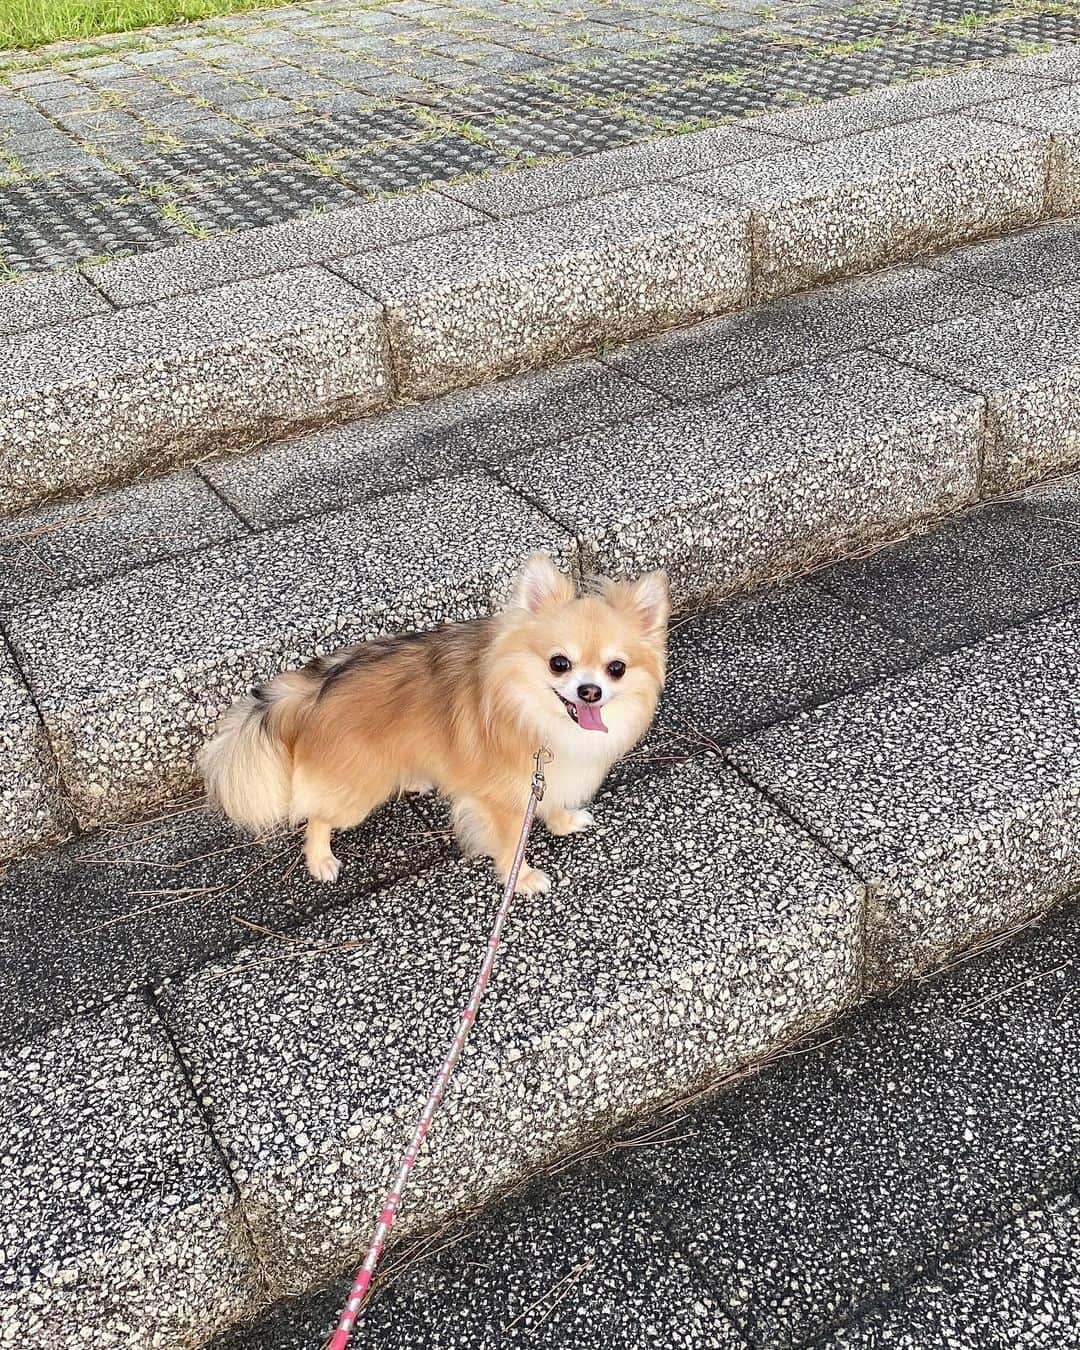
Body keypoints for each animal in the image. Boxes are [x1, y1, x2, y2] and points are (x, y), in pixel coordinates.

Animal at [199, 553, 666, 891]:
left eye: (616, 669)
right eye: (559, 663)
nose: (590, 691)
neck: (536, 714)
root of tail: (313, 691)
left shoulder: (548, 775)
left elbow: (550, 803)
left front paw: (563, 822)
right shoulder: (500, 800)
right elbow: (511, 841)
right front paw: (522, 878)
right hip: (355, 794)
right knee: (316, 815)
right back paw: (321, 860)